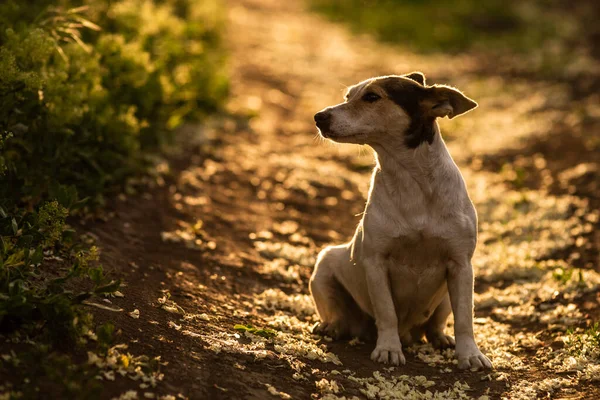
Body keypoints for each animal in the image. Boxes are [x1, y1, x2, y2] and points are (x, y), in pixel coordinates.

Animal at [310, 71, 492, 368]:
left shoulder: (461, 265)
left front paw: (470, 355)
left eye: (372, 97)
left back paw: (441, 339)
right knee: (337, 312)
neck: (411, 181)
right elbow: (387, 313)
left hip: (445, 296)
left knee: (436, 324)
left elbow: (465, 318)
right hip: (325, 265)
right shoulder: (376, 263)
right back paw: (332, 326)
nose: (319, 116)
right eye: (348, 96)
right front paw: (388, 349)